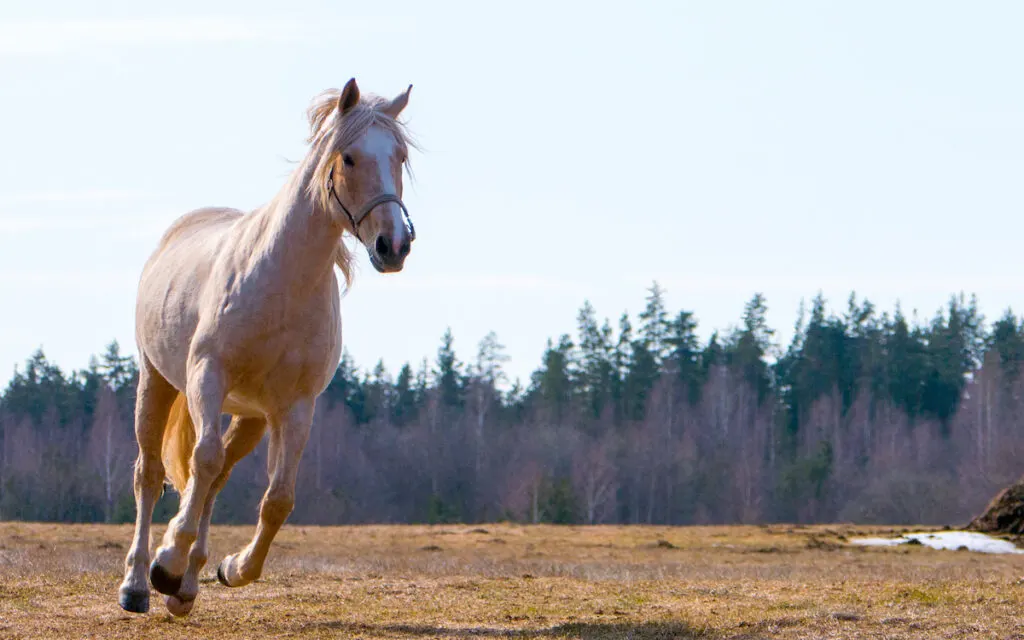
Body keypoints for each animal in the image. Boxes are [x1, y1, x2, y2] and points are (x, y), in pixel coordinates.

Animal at [120, 78, 419, 614]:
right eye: (348, 158)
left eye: (400, 156)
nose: (394, 245)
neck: (280, 282)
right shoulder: (208, 377)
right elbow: (200, 461)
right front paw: (165, 562)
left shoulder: (294, 407)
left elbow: (277, 498)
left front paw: (232, 568)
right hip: (156, 382)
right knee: (151, 473)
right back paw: (138, 583)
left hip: (251, 418)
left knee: (214, 480)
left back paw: (185, 589)